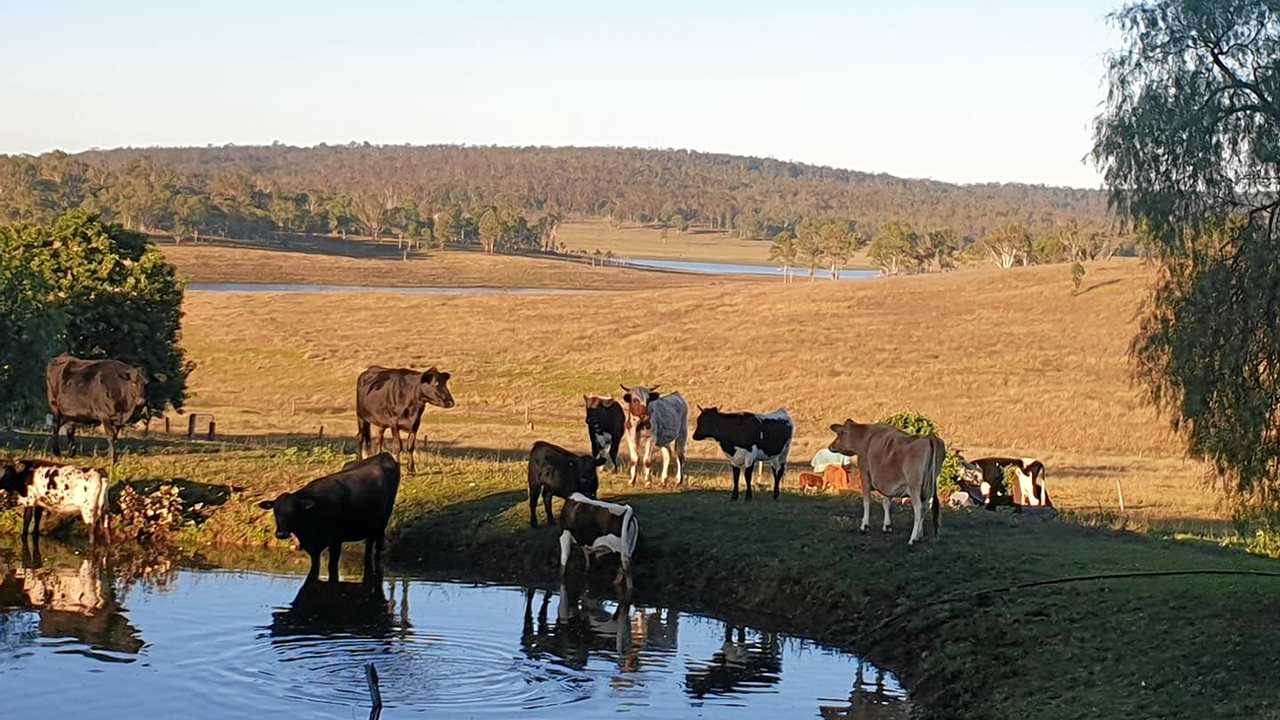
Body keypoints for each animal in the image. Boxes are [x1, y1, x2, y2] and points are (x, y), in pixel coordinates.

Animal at [254, 450, 399, 579]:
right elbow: (315, 568)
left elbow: (332, 567)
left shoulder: (336, 541)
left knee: (376, 549)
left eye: (294, 510)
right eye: (275, 510)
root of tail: (384, 455)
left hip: (383, 521)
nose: (281, 534)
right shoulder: (313, 547)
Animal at [824, 415, 947, 543]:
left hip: (914, 486)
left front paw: (864, 526)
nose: (830, 446)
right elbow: (886, 502)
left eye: (839, 434)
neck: (866, 437)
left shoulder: (865, 475)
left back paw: (913, 538)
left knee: (919, 508)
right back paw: (920, 535)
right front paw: (887, 526)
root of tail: (929, 437)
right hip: (929, 486)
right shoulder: (888, 483)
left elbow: (867, 501)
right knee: (926, 507)